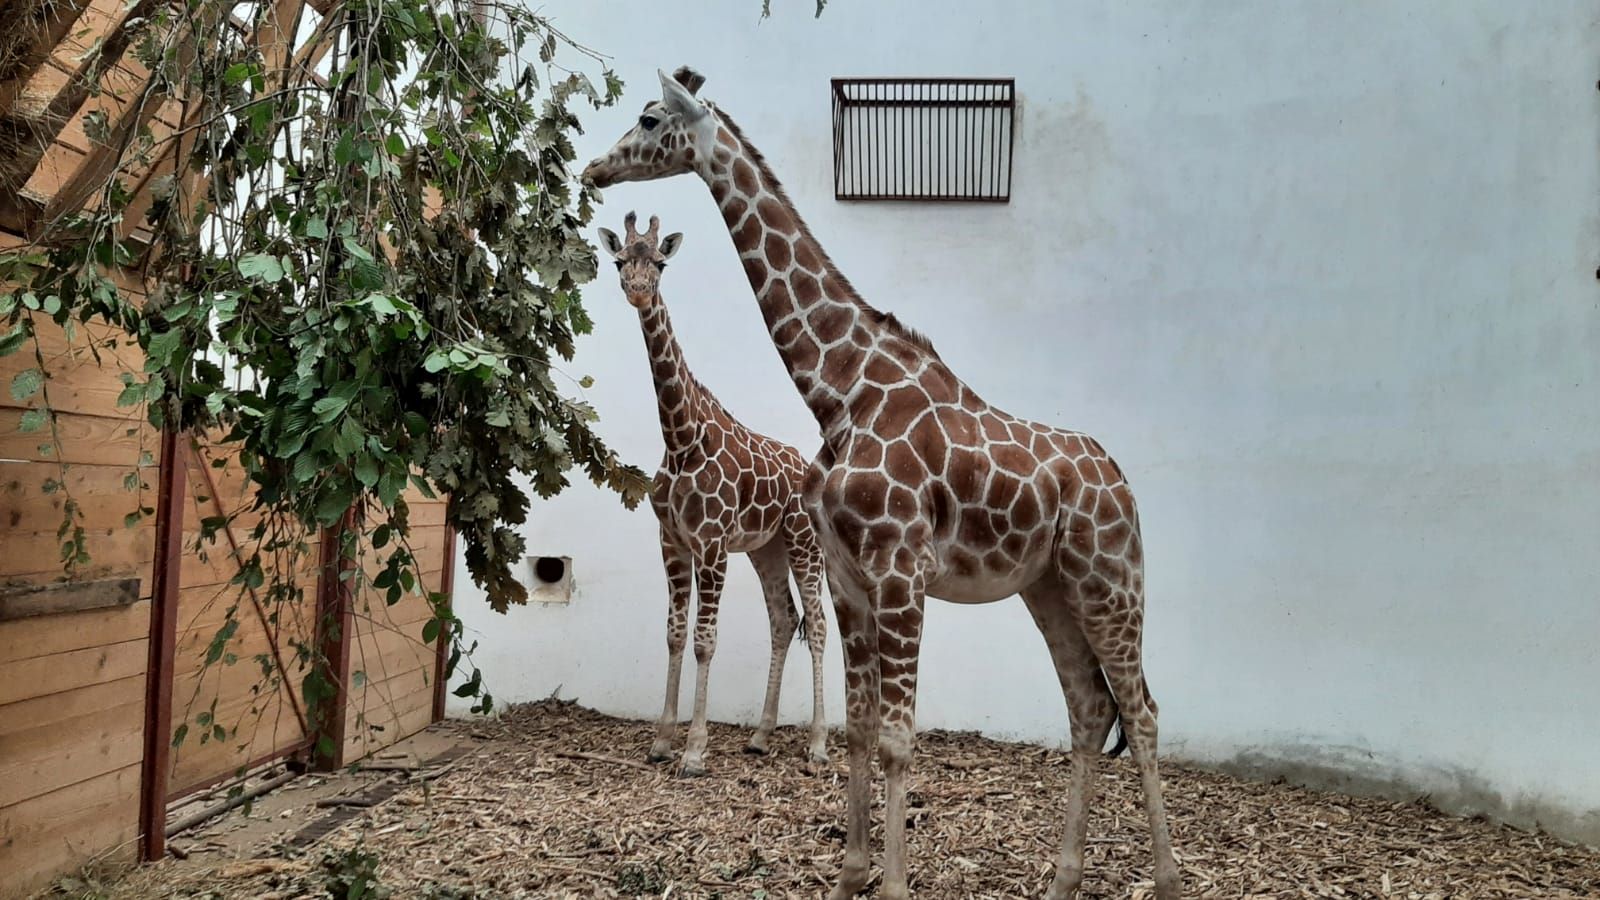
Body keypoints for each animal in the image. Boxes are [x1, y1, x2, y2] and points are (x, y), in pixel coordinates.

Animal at [595, 208, 832, 771]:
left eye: (660, 262)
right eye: (618, 260)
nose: (638, 291)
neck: (681, 437)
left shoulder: (711, 543)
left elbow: (706, 640)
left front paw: (695, 749)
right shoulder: (673, 541)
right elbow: (675, 634)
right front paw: (662, 741)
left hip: (804, 544)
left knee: (817, 625)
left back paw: (817, 744)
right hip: (767, 548)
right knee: (783, 620)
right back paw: (762, 735)